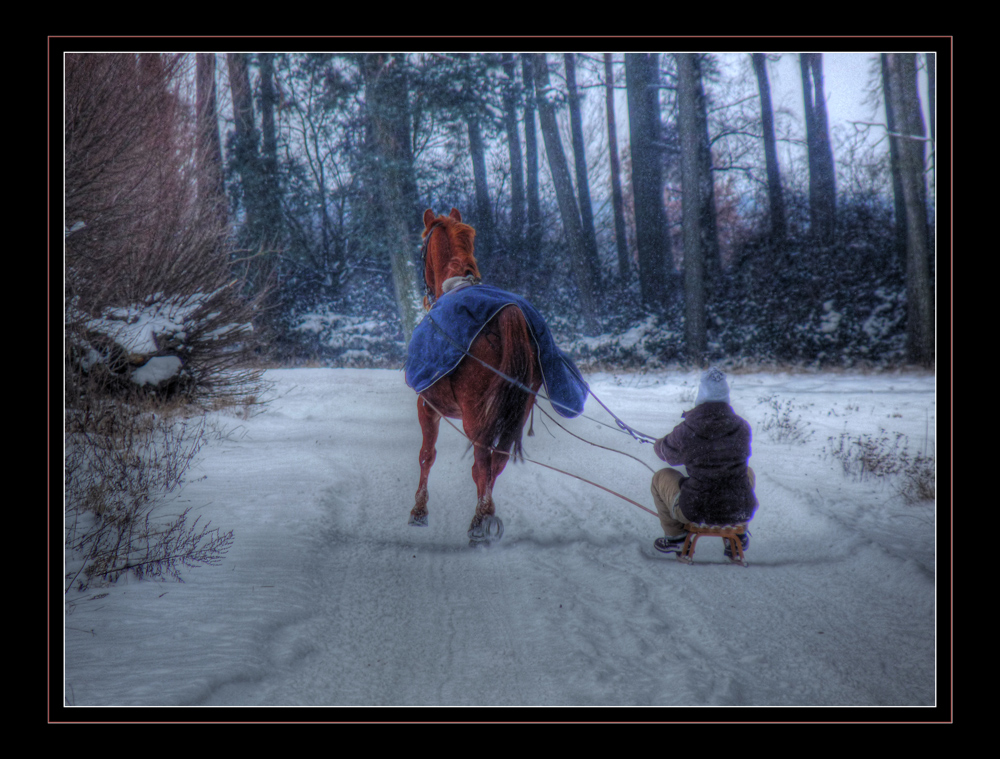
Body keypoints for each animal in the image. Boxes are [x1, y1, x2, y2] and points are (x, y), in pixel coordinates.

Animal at [410, 208, 544, 548]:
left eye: (421, 249)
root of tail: (509, 313)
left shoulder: (426, 405)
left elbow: (426, 455)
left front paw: (419, 510)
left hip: (476, 413)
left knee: (482, 463)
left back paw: (480, 523)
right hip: (516, 411)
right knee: (496, 462)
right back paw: (485, 515)